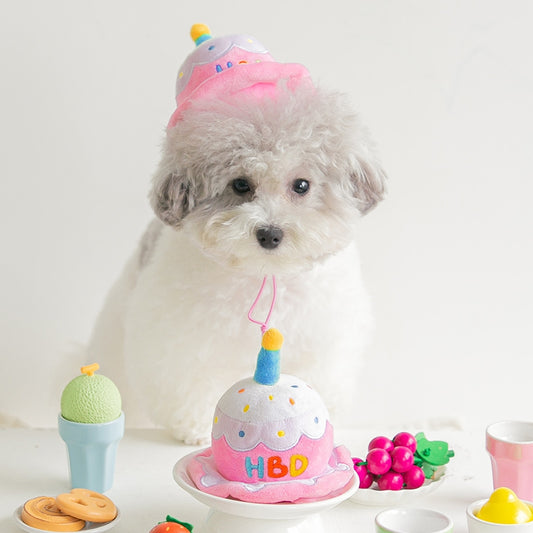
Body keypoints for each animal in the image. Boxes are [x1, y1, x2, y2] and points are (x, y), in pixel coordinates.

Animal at [88, 27, 386, 442]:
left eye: (302, 185)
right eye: (241, 184)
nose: (270, 233)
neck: (263, 275)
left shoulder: (321, 342)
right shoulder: (179, 340)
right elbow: (188, 381)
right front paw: (197, 427)